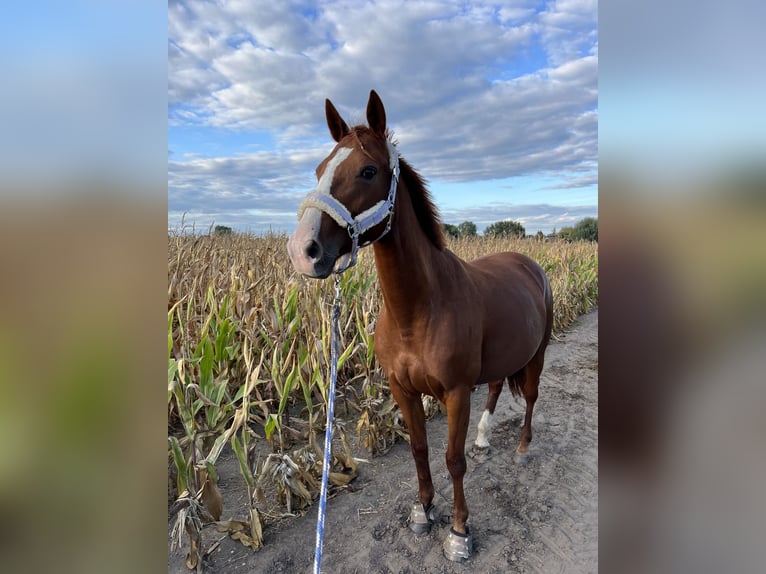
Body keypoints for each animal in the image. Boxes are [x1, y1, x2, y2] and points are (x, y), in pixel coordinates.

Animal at [288, 90, 552, 564]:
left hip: (536, 356)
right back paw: (484, 438)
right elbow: (419, 449)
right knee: (497, 386)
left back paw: (522, 449)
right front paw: (423, 510)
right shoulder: (402, 389)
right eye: (319, 170)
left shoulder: (456, 393)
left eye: (368, 171)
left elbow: (453, 460)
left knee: (531, 398)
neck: (419, 310)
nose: (303, 250)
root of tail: (529, 264)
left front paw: (459, 531)